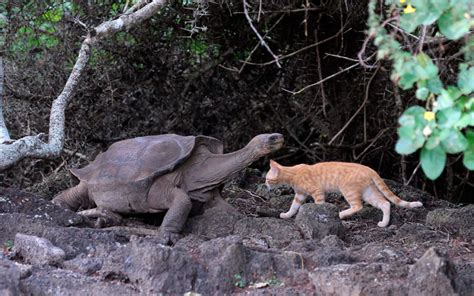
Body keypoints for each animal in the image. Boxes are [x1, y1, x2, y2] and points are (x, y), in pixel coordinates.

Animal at [264, 160, 424, 227]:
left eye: (267, 178)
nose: (265, 184)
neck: (293, 173)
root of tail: (369, 169)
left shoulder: (317, 191)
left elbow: (319, 204)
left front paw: (319, 214)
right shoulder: (300, 195)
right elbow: (293, 207)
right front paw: (287, 215)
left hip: (348, 190)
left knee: (358, 206)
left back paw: (341, 215)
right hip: (369, 192)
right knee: (385, 203)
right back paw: (384, 223)